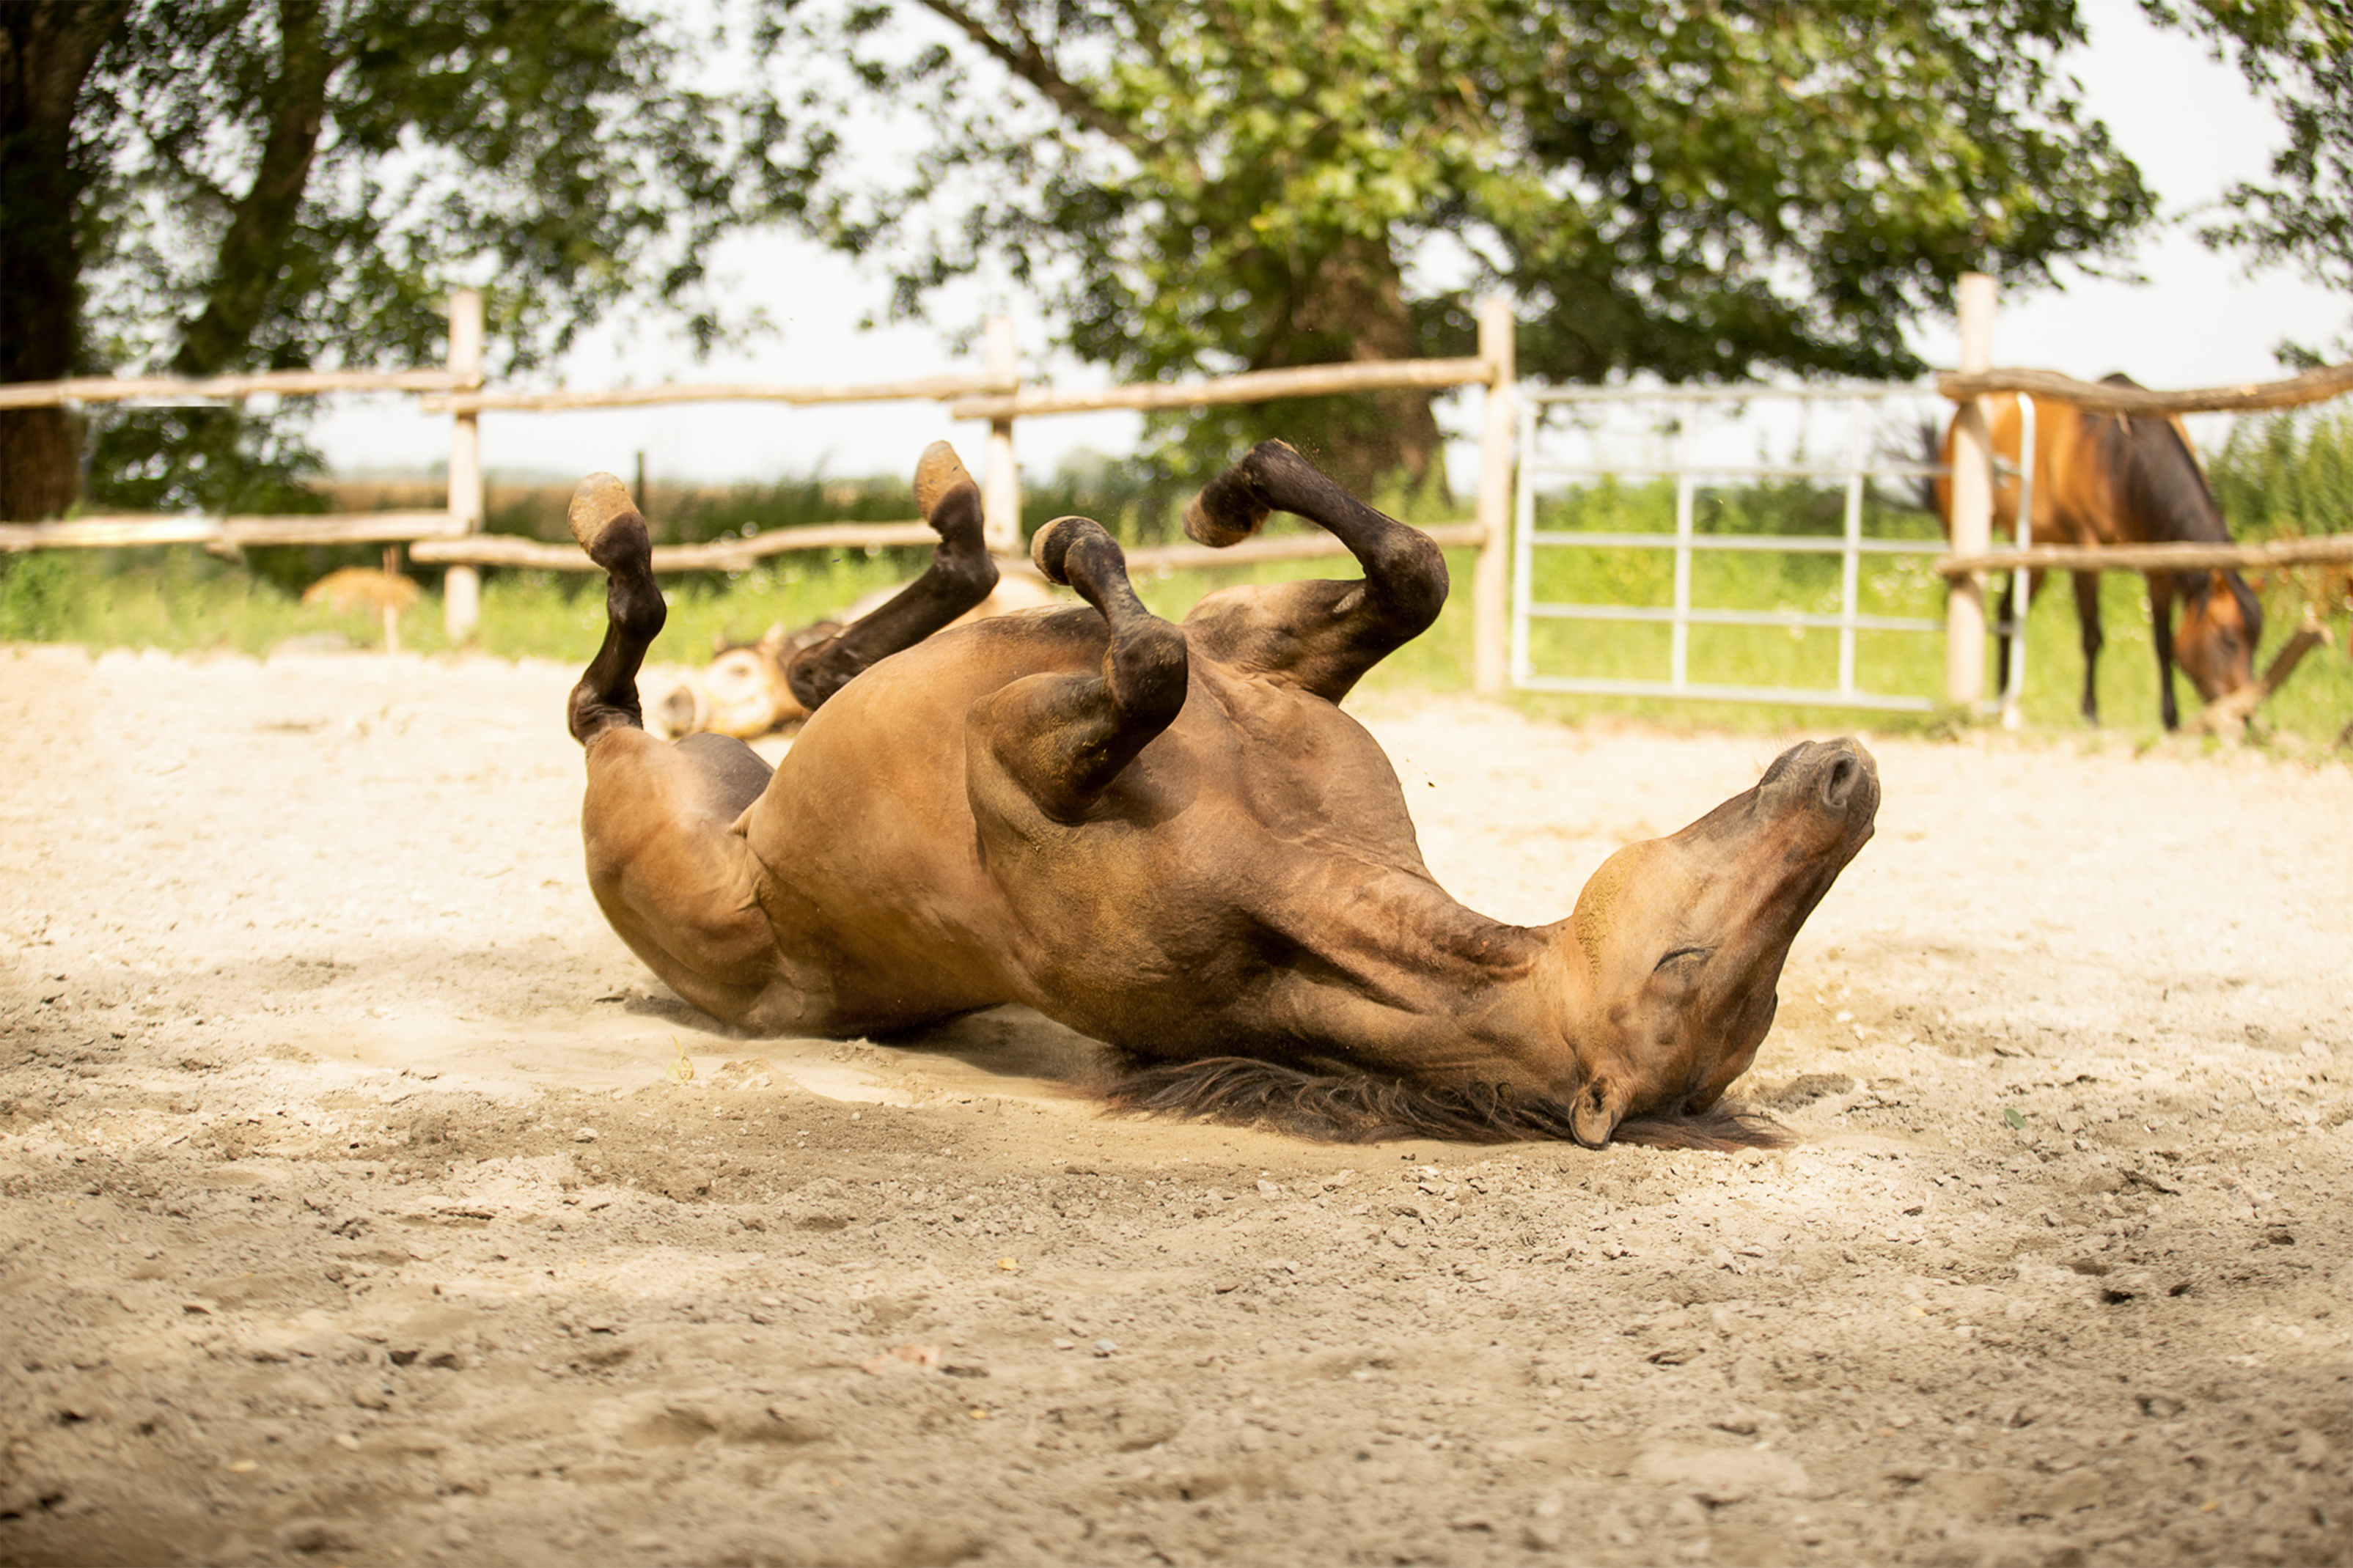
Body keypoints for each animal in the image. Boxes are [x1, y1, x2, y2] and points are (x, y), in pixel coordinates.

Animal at [562, 439, 1879, 1148]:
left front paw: (1074, 538)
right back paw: (903, 556)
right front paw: (1228, 494)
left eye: (1694, 970)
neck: (1283, 865)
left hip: (651, 794)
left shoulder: (1010, 745)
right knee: (843, 653)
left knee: (608, 694)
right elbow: (1410, 569)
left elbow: (1148, 651)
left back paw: (624, 532)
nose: (1847, 781)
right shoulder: (1270, 656)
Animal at [1933, 375, 2263, 729]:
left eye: (2257, 641)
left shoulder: (2159, 565)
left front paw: (2171, 719)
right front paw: (2091, 713)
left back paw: (2006, 702)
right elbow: (2093, 635)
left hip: (2035, 552)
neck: (2121, 457)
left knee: (2007, 611)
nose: (2245, 713)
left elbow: (2163, 643)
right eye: (2228, 638)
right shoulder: (2087, 553)